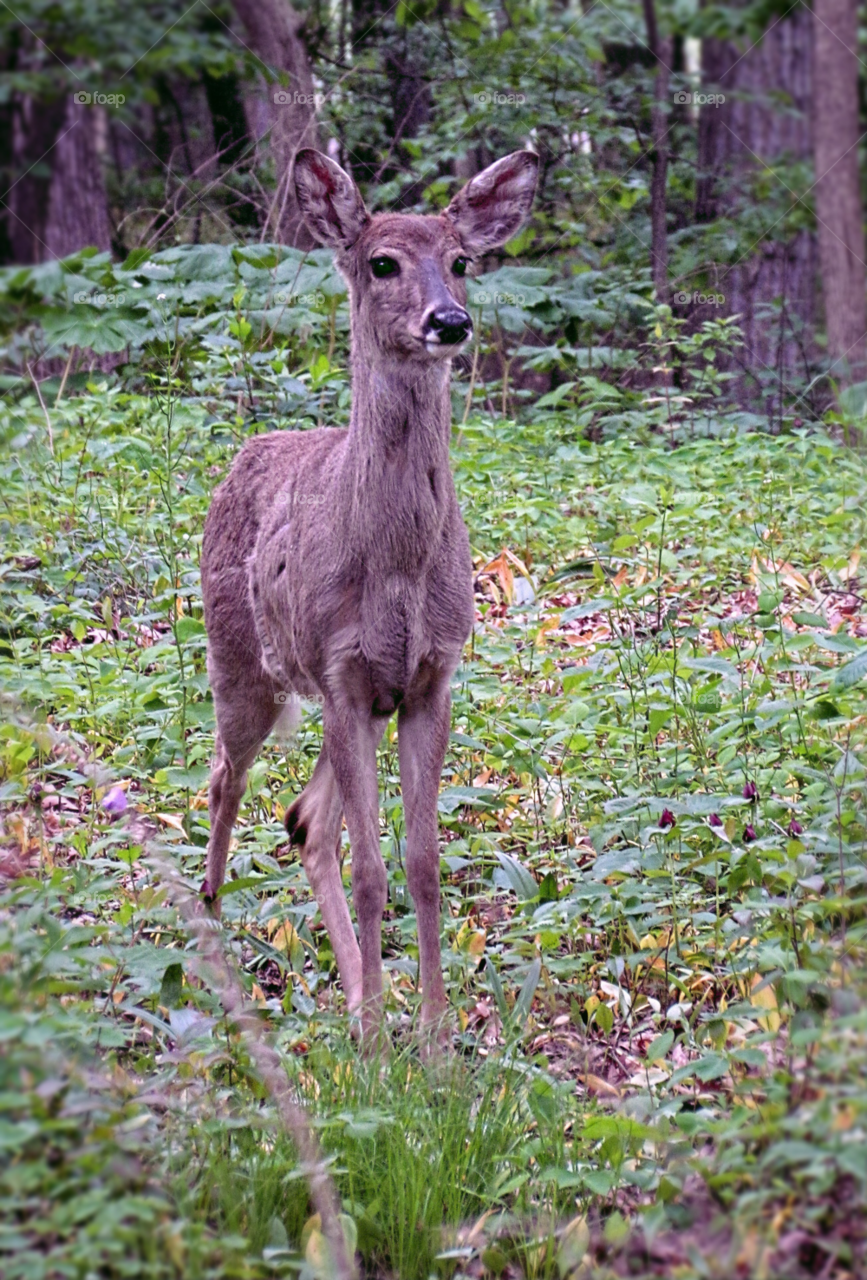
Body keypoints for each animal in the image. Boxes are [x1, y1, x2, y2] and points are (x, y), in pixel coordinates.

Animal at [199, 145, 537, 1044]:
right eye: (381, 262)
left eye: (462, 262)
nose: (448, 322)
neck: (396, 572)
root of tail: (247, 453)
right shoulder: (345, 676)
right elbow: (371, 872)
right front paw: (389, 1046)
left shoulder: (424, 680)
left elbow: (419, 867)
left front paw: (432, 1037)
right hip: (242, 664)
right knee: (224, 779)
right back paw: (211, 942)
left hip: (327, 698)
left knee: (304, 822)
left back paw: (355, 998)